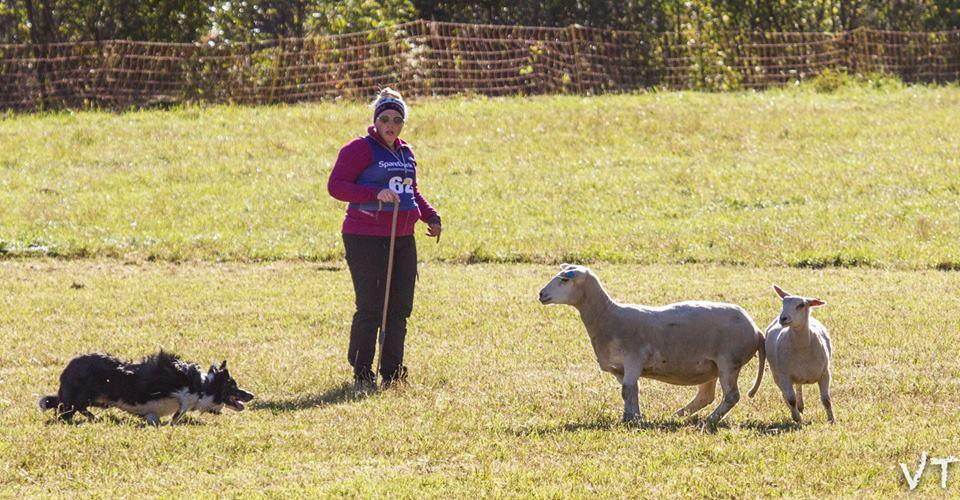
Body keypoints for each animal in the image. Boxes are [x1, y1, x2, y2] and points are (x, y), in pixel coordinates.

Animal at [540, 264, 764, 424]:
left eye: (564, 280)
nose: (541, 294)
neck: (607, 316)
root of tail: (755, 330)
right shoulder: (620, 368)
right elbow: (631, 391)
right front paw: (632, 417)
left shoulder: (633, 359)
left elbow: (627, 390)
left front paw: (631, 420)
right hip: (711, 367)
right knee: (705, 396)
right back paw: (678, 416)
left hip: (729, 361)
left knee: (732, 396)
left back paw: (710, 420)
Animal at [764, 286, 832, 422]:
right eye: (783, 303)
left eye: (801, 305)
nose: (783, 318)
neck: (802, 348)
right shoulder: (785, 376)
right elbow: (791, 399)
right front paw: (798, 419)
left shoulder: (825, 373)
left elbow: (826, 399)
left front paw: (831, 420)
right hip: (777, 375)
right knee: (786, 394)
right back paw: (796, 410)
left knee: (799, 386)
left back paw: (801, 406)